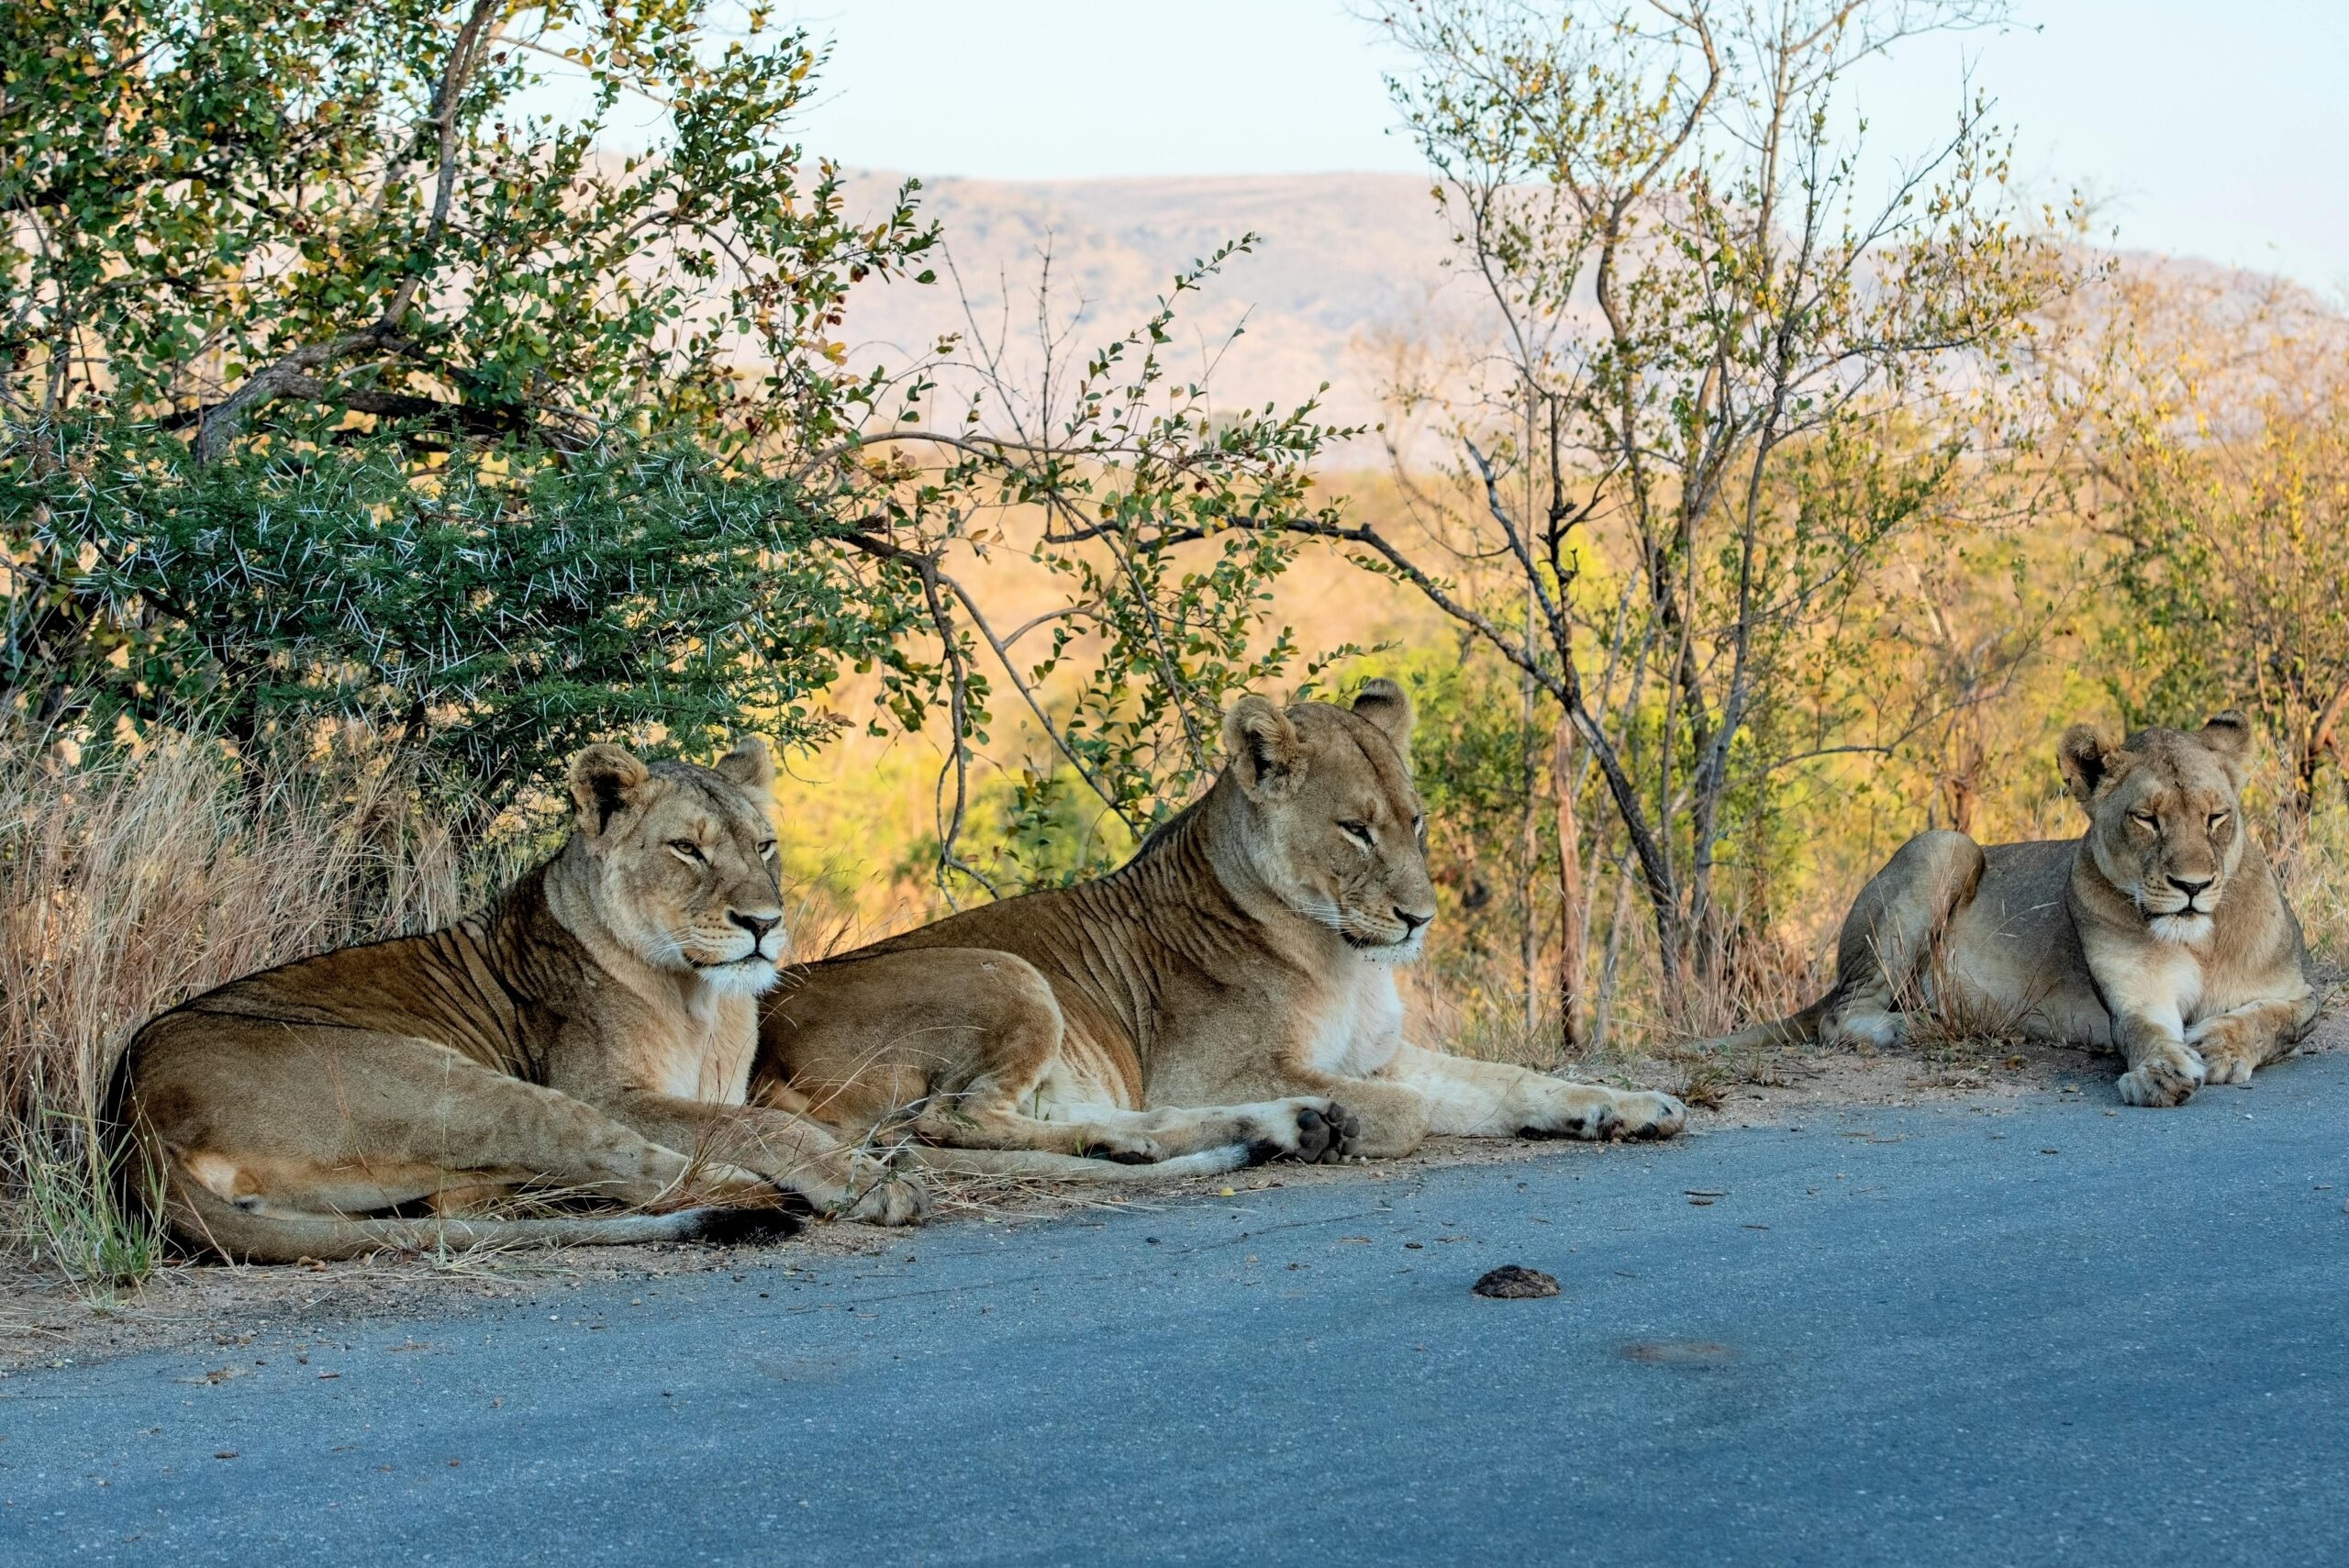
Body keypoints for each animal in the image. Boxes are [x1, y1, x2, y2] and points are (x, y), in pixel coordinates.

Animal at [108, 737, 926, 1263]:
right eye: (686, 849)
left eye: (764, 845)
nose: (763, 923)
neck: (702, 999)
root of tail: (133, 1122)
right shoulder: (611, 1092)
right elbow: (758, 1125)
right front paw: (866, 1179)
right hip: (458, 1087)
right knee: (634, 1168)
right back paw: (769, 1198)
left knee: (467, 1201)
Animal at [753, 680, 1688, 1178]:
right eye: (1356, 829)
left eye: (1415, 821)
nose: (1419, 917)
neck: (1346, 960)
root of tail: (762, 1050)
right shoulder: (1217, 1068)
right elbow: (1413, 1110)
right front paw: (1351, 1126)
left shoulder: (1376, 1055)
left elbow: (1511, 1080)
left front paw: (1629, 1106)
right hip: (1010, 977)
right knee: (956, 1120)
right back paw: (1280, 1128)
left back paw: (1269, 1128)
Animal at [1707, 712, 2321, 1107]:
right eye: (2146, 819)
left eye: (2217, 816)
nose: (2192, 886)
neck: (2198, 939)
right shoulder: (2133, 997)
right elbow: (2144, 1032)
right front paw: (2159, 1072)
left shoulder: (2298, 989)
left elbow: (2278, 1021)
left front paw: (2218, 1045)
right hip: (1946, 844)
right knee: (1840, 1016)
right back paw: (1920, 1025)